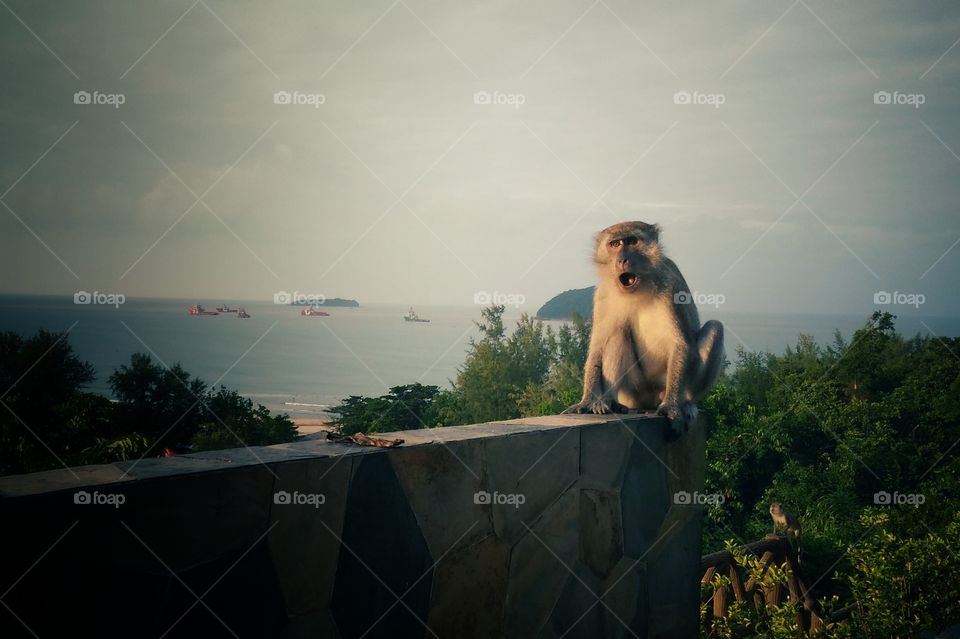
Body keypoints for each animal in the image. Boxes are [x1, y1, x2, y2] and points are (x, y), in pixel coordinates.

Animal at [563, 221, 724, 439]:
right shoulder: (603, 294)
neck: (637, 290)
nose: (623, 259)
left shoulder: (671, 285)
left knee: (715, 327)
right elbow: (598, 346)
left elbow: (680, 343)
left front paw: (672, 407)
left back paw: (685, 403)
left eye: (631, 241)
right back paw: (611, 403)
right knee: (616, 335)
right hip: (633, 392)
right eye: (615, 244)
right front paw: (587, 402)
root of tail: (650, 400)